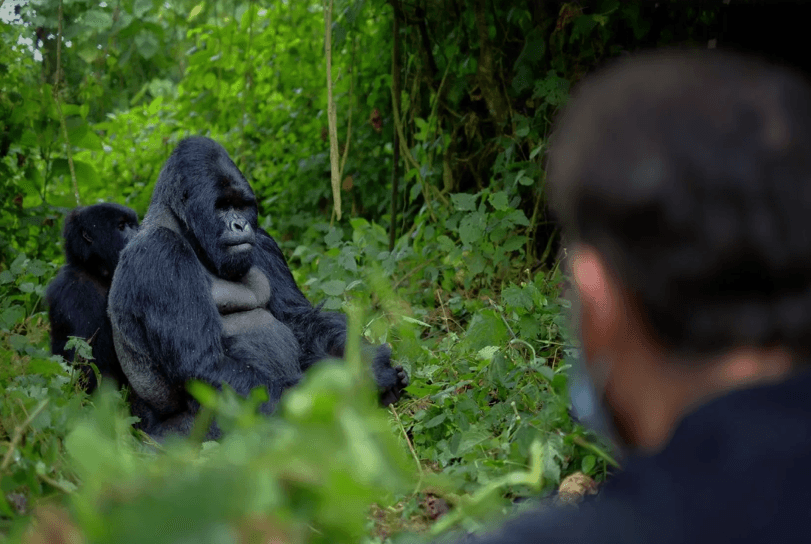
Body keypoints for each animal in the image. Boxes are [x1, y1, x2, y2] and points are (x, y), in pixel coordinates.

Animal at [45, 204, 140, 392]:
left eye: (133, 225)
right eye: (121, 227)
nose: (139, 233)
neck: (95, 271)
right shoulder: (77, 292)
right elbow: (87, 365)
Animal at [109, 136, 406, 438]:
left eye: (241, 206)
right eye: (222, 206)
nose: (240, 225)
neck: (187, 230)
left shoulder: (263, 240)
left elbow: (300, 319)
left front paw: (368, 361)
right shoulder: (160, 253)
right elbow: (205, 364)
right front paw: (360, 382)